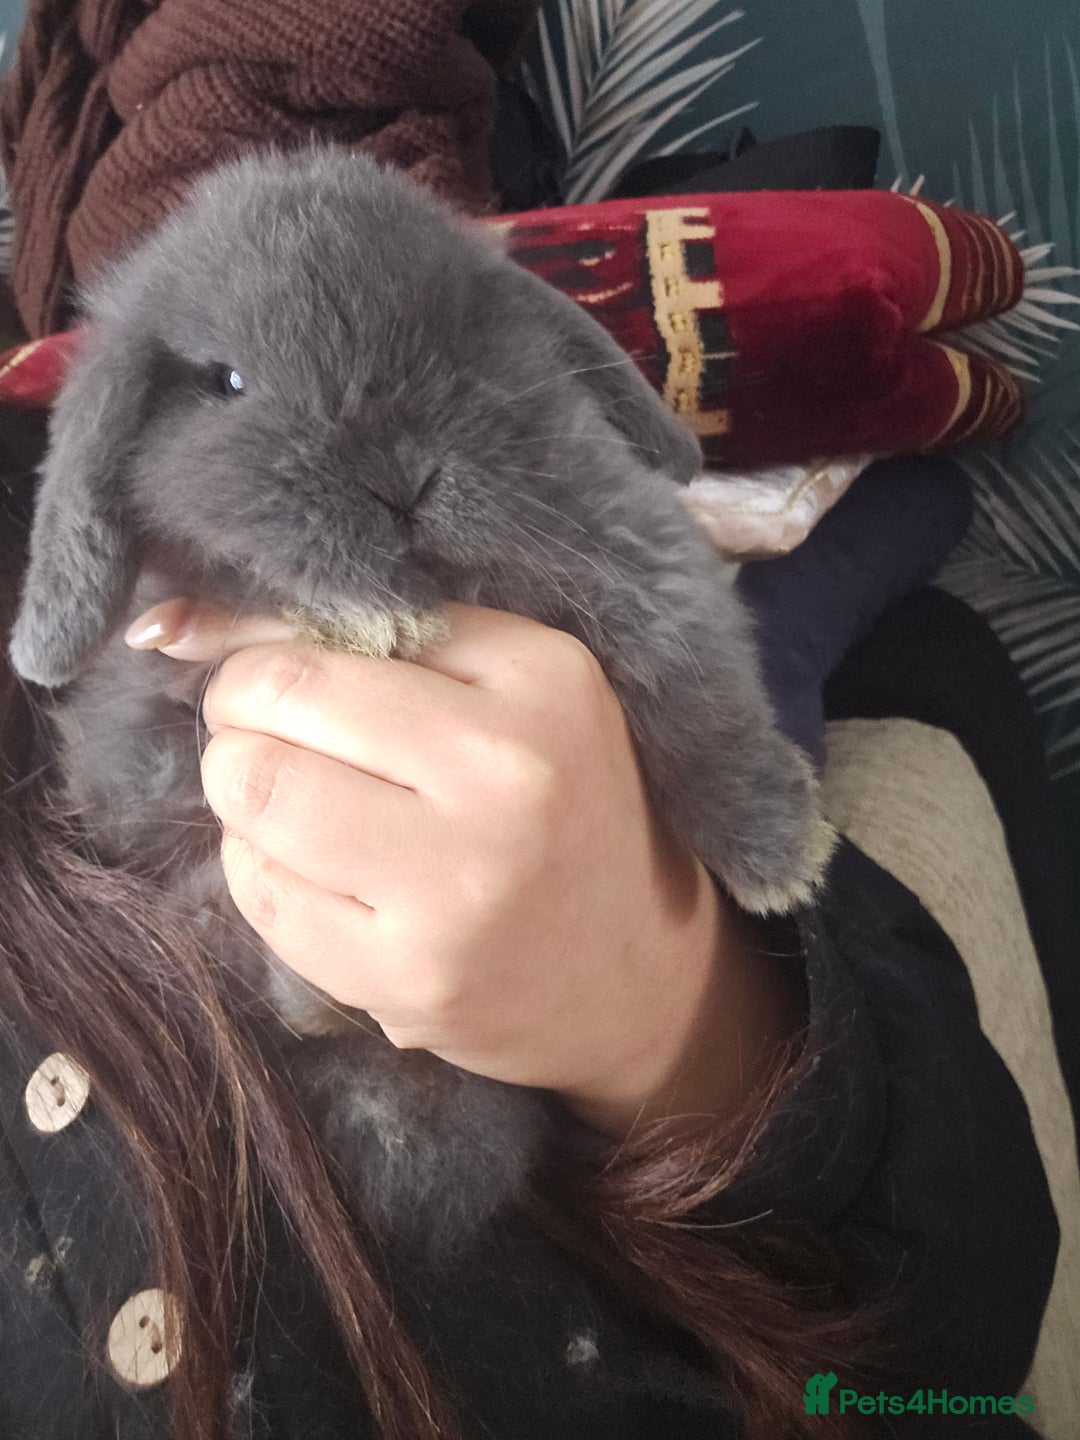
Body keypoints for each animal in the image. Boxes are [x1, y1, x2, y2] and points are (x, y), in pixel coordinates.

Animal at [9, 146, 834, 1257]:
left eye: (460, 336)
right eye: (226, 382)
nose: (401, 481)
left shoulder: (639, 555)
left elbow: (697, 696)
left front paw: (781, 857)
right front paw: (364, 617)